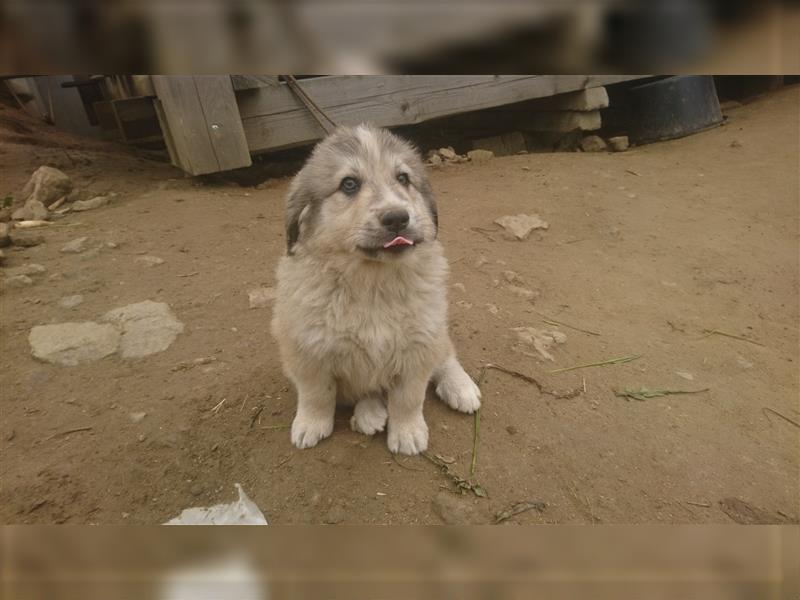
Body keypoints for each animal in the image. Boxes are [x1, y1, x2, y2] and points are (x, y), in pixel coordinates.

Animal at [268, 125, 482, 454]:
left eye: (403, 178)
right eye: (349, 184)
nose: (397, 218)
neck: (372, 282)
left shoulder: (418, 345)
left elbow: (409, 397)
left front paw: (407, 432)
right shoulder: (306, 349)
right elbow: (316, 393)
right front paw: (311, 424)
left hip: (435, 329)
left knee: (446, 355)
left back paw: (461, 388)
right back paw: (369, 413)